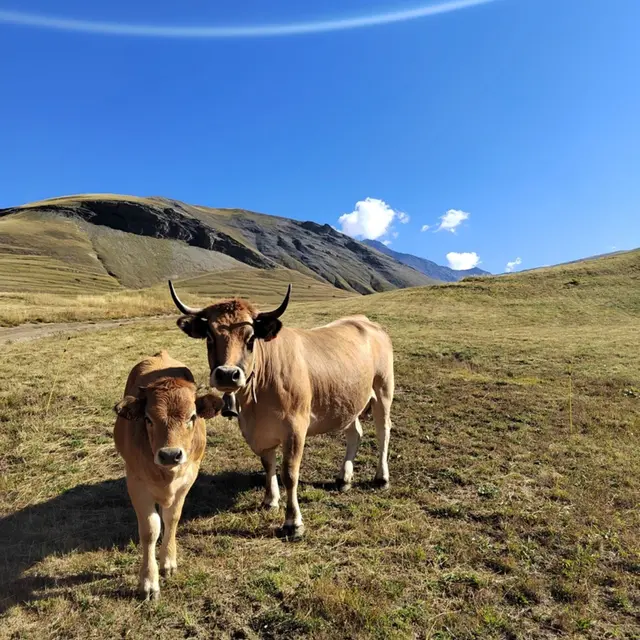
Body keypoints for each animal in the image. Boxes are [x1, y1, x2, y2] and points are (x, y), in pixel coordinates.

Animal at [113, 350, 223, 600]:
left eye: (192, 417)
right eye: (148, 419)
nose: (170, 455)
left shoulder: (187, 480)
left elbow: (171, 519)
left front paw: (168, 562)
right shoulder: (136, 483)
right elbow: (150, 530)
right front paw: (148, 582)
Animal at [168, 281, 394, 541]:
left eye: (250, 338)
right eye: (210, 337)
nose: (227, 374)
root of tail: (364, 321)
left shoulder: (295, 428)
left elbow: (289, 473)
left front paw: (293, 522)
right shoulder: (258, 430)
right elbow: (268, 464)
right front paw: (270, 500)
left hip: (383, 390)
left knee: (383, 431)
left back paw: (381, 478)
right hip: (348, 401)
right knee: (355, 433)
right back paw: (343, 478)